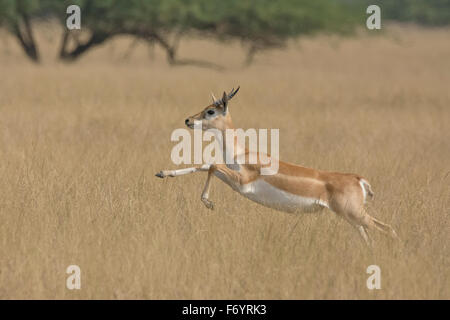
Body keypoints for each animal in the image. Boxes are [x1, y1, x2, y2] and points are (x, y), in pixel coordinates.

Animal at [156, 87, 400, 245]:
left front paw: (208, 203)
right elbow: (205, 165)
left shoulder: (242, 182)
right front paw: (163, 173)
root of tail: (359, 180)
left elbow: (212, 165)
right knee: (369, 238)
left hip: (355, 214)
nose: (188, 120)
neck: (242, 153)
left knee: (389, 229)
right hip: (351, 218)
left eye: (210, 111)